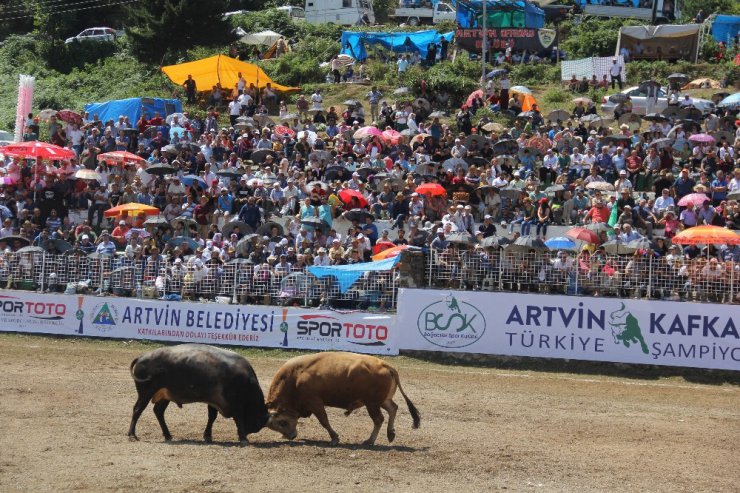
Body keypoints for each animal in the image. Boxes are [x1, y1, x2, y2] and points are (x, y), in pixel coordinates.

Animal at [127, 344, 268, 444]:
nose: (251, 430)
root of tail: (142, 357)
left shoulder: (214, 401)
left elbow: (212, 417)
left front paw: (208, 436)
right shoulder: (236, 402)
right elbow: (238, 418)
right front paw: (243, 438)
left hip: (164, 396)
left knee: (158, 411)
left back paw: (168, 435)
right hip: (145, 393)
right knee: (137, 410)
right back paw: (132, 435)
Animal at [266, 350, 420, 446]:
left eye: (282, 422)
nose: (291, 436)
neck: (295, 376)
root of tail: (386, 365)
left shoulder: (315, 402)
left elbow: (324, 421)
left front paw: (334, 438)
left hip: (372, 404)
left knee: (378, 419)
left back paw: (370, 440)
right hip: (381, 401)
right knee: (393, 408)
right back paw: (390, 433)